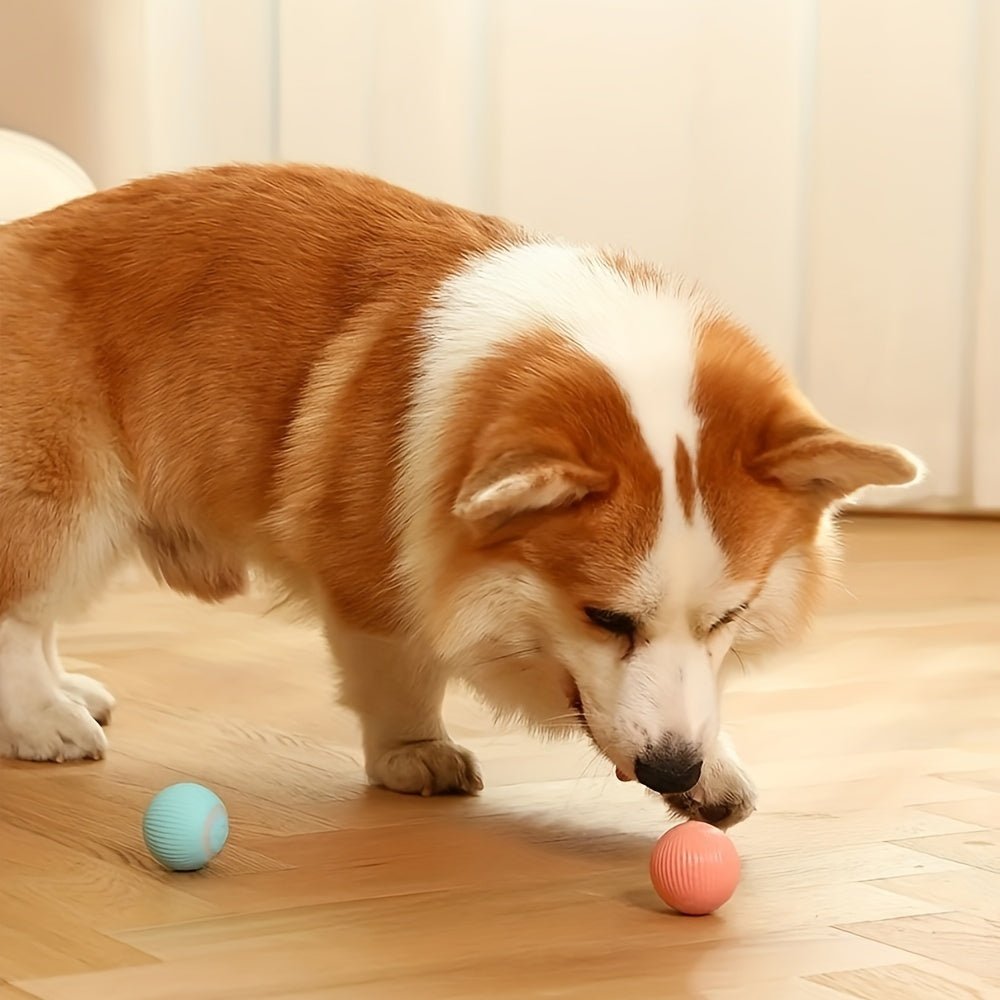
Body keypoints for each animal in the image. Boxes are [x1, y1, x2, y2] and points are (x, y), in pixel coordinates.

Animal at [0, 166, 920, 828]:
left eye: (731, 617)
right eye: (604, 618)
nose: (672, 769)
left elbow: (687, 696)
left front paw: (714, 769)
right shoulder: (372, 580)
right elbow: (401, 676)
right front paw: (416, 755)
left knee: (41, 619)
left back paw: (68, 693)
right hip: (66, 501)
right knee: (20, 611)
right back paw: (44, 721)